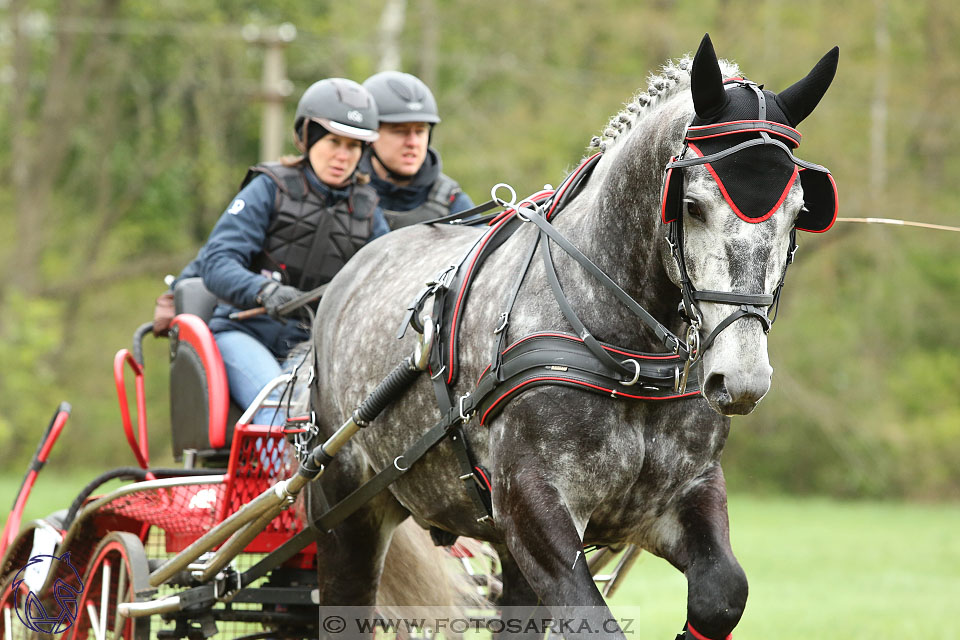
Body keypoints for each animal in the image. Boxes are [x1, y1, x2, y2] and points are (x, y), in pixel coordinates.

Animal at [306, 36, 832, 640]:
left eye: (799, 212)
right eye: (692, 205)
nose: (741, 378)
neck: (628, 360)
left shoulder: (684, 494)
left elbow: (723, 593)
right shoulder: (535, 506)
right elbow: (591, 620)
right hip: (346, 513)